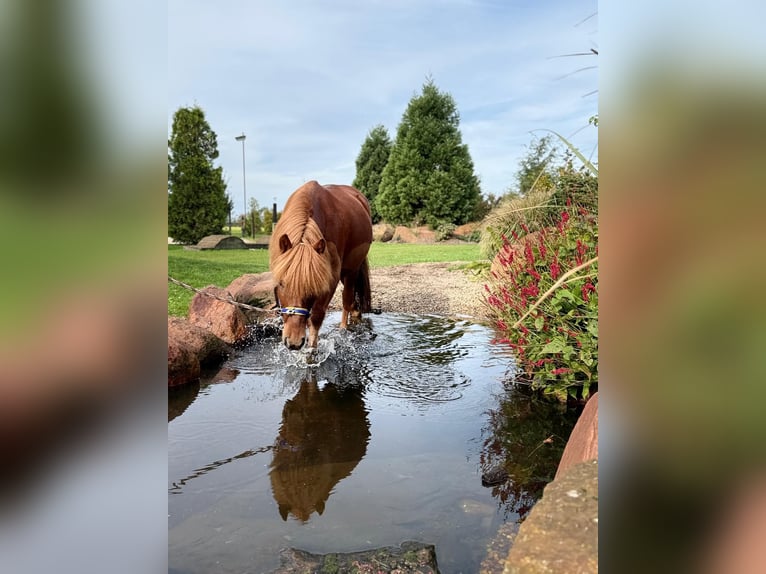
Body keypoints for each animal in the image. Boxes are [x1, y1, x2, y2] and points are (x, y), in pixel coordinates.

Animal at [269, 181, 373, 350]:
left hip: (351, 270)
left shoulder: (330, 279)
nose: (294, 342)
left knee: (347, 298)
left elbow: (316, 316)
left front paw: (312, 349)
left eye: (312, 288)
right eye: (281, 284)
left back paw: (343, 328)